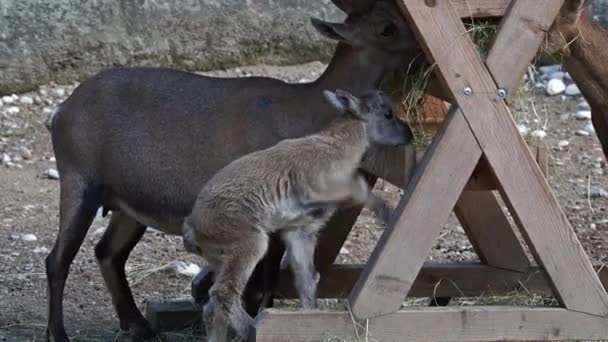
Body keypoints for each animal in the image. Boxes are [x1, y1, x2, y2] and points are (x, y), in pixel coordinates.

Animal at [180, 89, 408, 340]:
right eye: (388, 113)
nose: (409, 135)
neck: (337, 147)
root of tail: (192, 226)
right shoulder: (314, 185)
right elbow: (359, 187)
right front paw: (387, 213)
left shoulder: (299, 232)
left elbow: (307, 279)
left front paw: (311, 319)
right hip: (249, 244)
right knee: (224, 293)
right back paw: (251, 329)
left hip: (223, 259)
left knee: (212, 309)